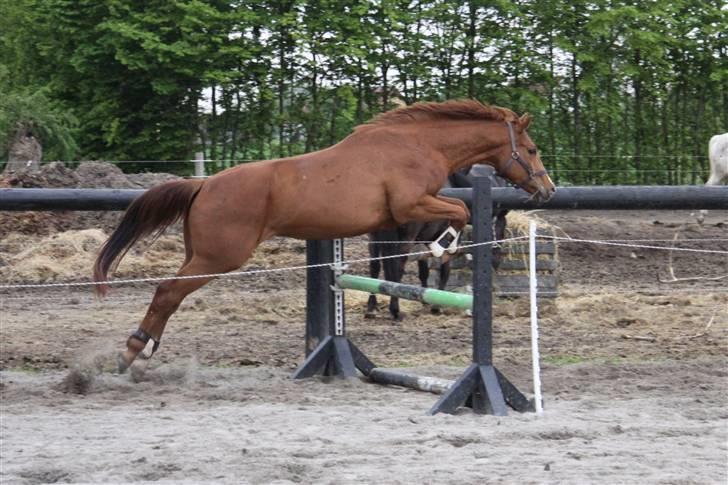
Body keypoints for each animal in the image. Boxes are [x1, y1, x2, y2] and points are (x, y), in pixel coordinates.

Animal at [366, 164, 510, 320]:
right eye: (502, 231)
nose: (496, 262)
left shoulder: (424, 241)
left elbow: (424, 271)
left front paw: (424, 300)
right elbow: (444, 270)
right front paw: (437, 306)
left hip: (375, 240)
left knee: (375, 267)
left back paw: (371, 307)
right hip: (405, 241)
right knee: (396, 268)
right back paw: (395, 309)